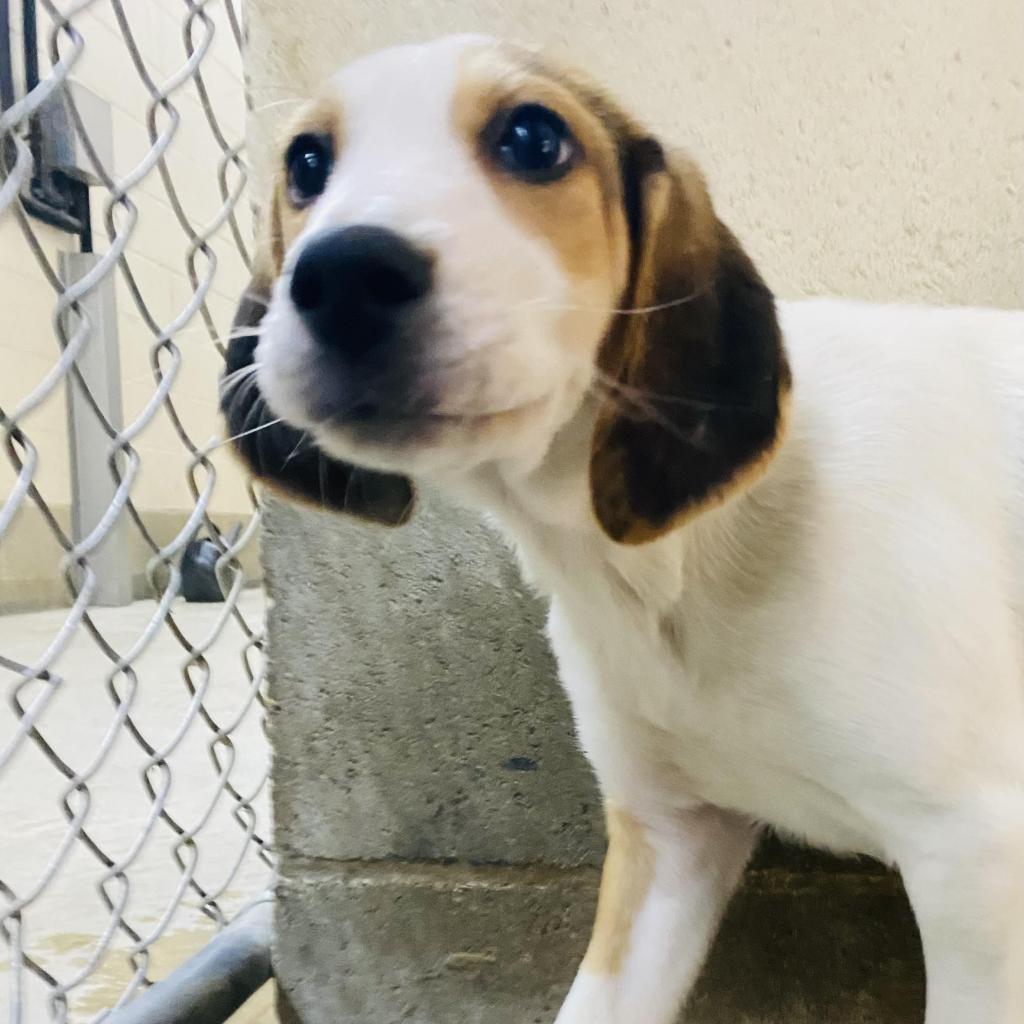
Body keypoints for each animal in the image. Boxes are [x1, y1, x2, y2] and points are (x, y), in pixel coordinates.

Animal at [224, 34, 1024, 1024]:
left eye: (534, 138)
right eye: (306, 162)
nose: (341, 277)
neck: (677, 563)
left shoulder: (971, 853)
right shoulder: (669, 836)